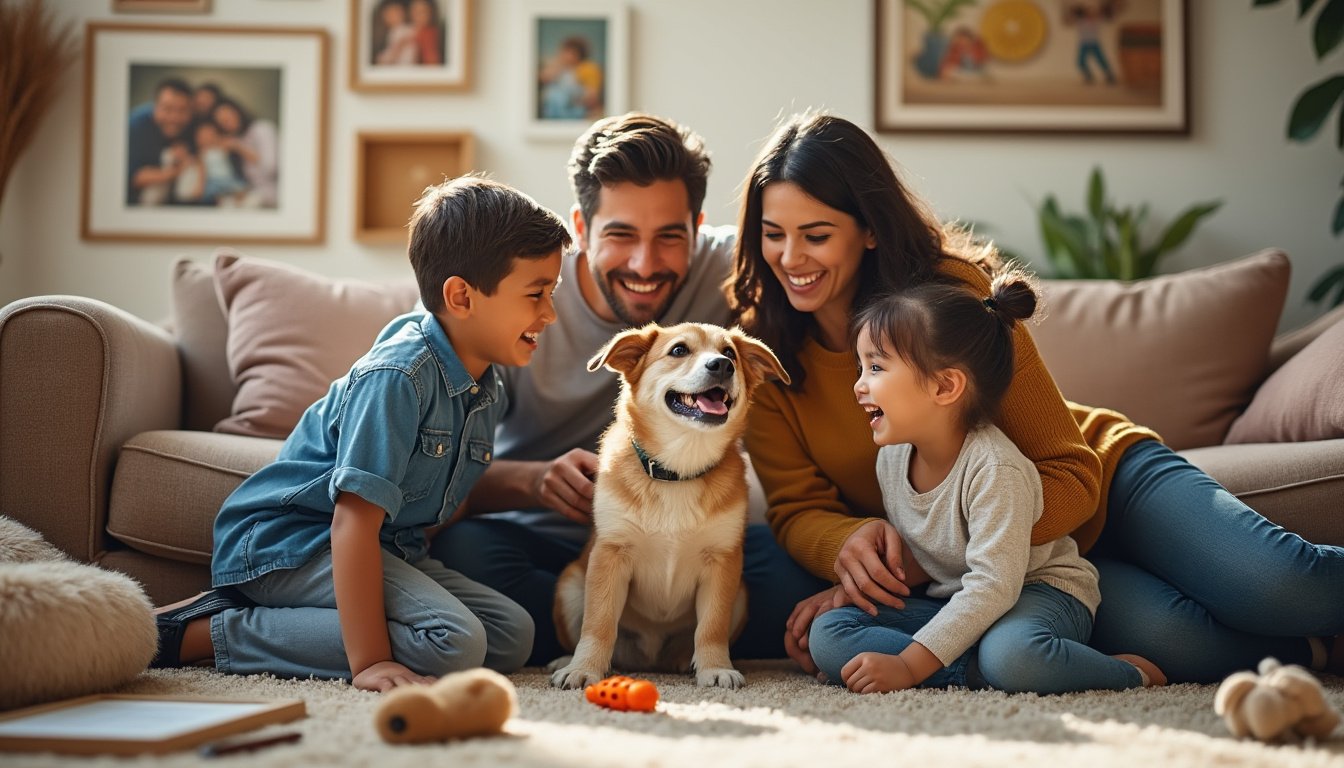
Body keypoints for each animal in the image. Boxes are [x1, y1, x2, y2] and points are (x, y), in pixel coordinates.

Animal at [551, 320, 784, 688]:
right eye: (679, 350)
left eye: (729, 352)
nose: (722, 365)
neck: (678, 471)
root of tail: (650, 658)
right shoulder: (611, 554)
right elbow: (598, 623)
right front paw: (583, 668)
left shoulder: (722, 562)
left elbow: (711, 627)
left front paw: (714, 667)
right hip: (570, 585)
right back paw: (569, 659)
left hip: (741, 594)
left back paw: (684, 660)